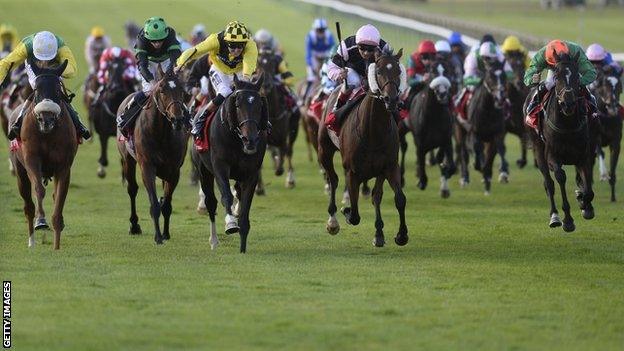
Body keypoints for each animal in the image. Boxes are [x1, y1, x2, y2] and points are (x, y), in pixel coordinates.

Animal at [115, 64, 188, 245]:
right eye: (161, 90)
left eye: (182, 90)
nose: (177, 119)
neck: (161, 133)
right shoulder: (147, 166)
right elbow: (154, 204)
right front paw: (158, 237)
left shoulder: (174, 170)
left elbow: (166, 204)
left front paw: (166, 233)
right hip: (128, 159)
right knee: (132, 189)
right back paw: (134, 226)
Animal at [191, 75, 266, 254]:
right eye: (237, 104)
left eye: (260, 105)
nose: (250, 140)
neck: (236, 139)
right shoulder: (220, 167)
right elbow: (226, 196)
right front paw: (231, 223)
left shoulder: (251, 173)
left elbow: (245, 205)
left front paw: (243, 245)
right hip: (204, 171)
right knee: (211, 202)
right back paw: (214, 240)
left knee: (237, 192)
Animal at [316, 49, 410, 248]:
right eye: (379, 71)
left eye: (398, 71)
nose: (391, 99)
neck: (372, 132)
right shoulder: (352, 171)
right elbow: (355, 214)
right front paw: (346, 211)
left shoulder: (388, 166)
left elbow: (394, 198)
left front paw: (397, 235)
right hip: (324, 150)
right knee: (333, 179)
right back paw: (333, 221)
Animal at [402, 60, 456, 198]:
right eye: (432, 71)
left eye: (447, 70)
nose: (442, 94)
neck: (434, 116)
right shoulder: (420, 142)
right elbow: (421, 158)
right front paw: (422, 181)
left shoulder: (446, 140)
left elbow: (448, 164)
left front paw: (445, 186)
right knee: (403, 148)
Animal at [528, 52, 596, 232]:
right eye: (556, 76)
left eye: (577, 76)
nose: (568, 102)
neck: (567, 125)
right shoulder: (552, 156)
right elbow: (560, 177)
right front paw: (568, 220)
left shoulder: (584, 155)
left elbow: (588, 187)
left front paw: (585, 204)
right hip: (539, 151)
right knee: (549, 184)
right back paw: (555, 217)